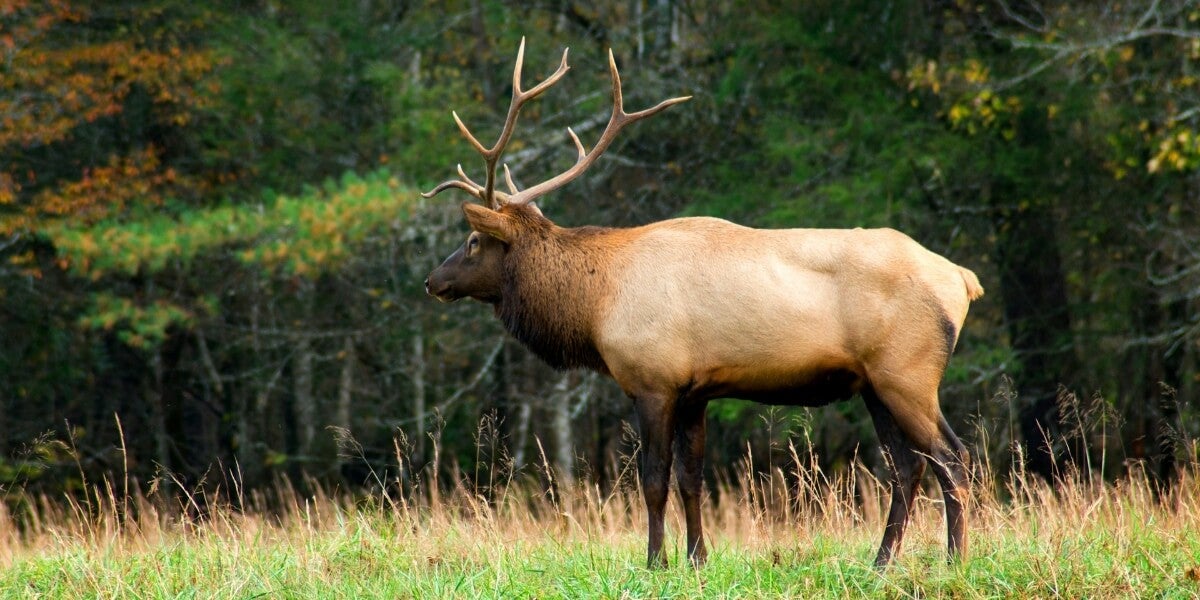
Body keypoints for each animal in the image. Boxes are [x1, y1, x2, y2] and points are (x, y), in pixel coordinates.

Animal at [422, 38, 984, 566]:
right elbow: (692, 480)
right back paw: (882, 562)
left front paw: (655, 561)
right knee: (908, 466)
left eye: (473, 242)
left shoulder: (652, 381)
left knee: (952, 457)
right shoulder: (695, 391)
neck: (595, 305)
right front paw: (697, 557)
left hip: (907, 373)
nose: (432, 281)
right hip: (873, 383)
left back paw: (954, 559)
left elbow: (653, 480)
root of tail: (963, 279)